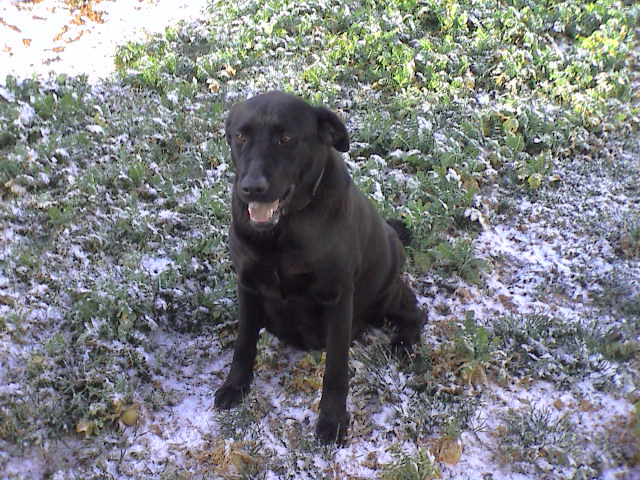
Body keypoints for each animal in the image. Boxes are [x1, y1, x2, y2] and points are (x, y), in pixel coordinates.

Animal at [214, 91, 424, 444]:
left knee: (417, 313)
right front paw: (235, 385)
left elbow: (336, 368)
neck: (282, 233)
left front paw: (332, 419)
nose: (252, 187)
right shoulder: (248, 285)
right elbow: (244, 342)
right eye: (241, 136)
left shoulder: (337, 298)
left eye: (286, 138)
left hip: (385, 295)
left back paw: (402, 343)